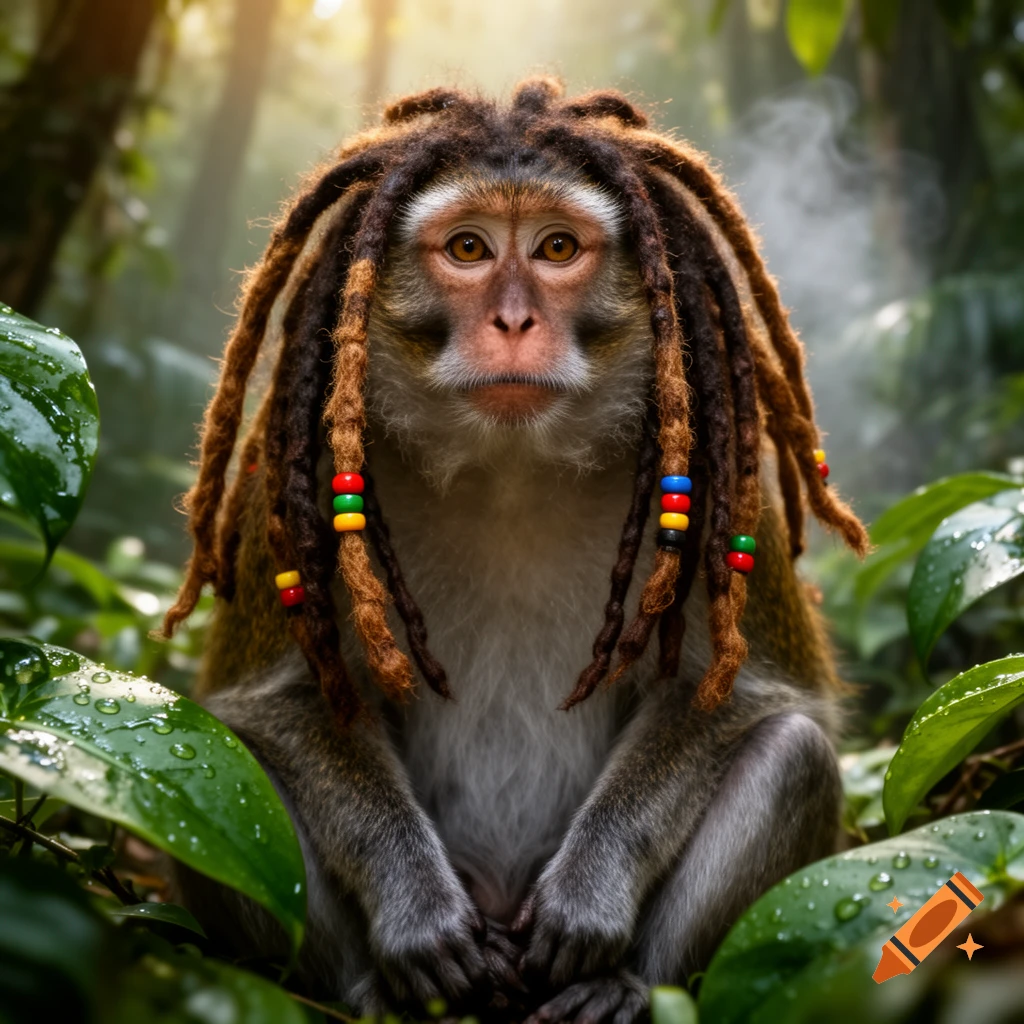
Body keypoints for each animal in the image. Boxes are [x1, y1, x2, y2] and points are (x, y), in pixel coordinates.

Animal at [164, 79, 869, 1023]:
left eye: (556, 248)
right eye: (469, 248)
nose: (512, 317)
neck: (509, 462)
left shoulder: (725, 474)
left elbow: (742, 692)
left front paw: (591, 891)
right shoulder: (292, 472)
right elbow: (276, 700)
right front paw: (416, 909)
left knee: (794, 754)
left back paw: (624, 984)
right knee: (220, 746)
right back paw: (377, 992)